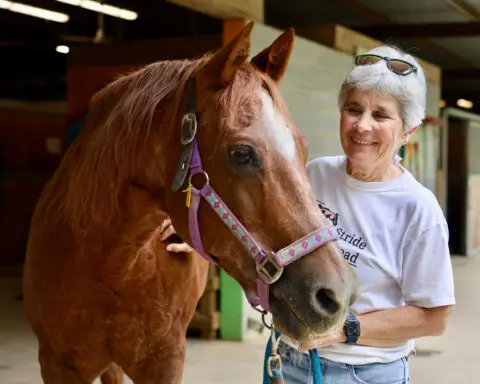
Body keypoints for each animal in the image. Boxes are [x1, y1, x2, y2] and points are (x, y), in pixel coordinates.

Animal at [22, 21, 356, 384]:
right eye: (241, 153)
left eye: (303, 148)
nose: (338, 295)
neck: (111, 268)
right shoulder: (57, 365)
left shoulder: (165, 362)